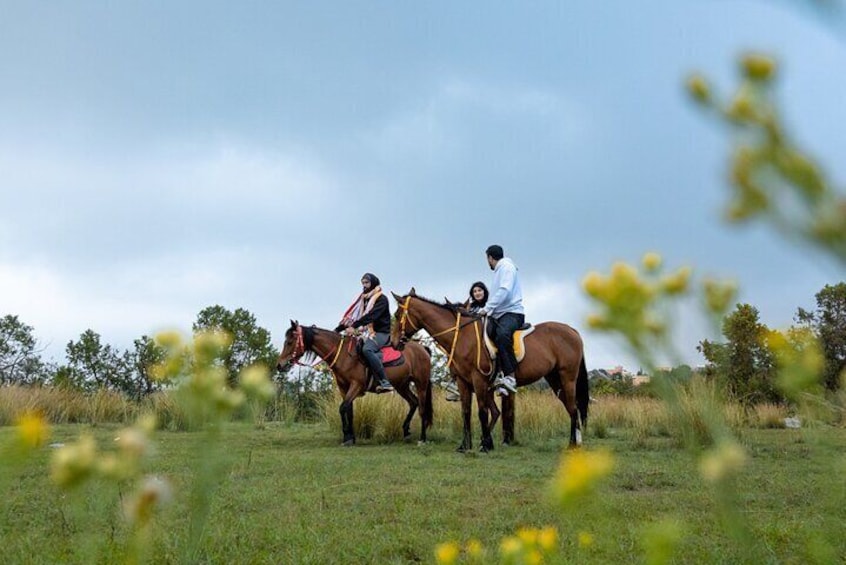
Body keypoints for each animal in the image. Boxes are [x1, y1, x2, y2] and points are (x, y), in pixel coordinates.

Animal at [278, 322, 434, 446]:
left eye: (290, 342)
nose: (280, 365)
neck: (343, 355)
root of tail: (422, 349)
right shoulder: (344, 388)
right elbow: (349, 411)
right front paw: (351, 438)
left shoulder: (356, 386)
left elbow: (342, 408)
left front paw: (347, 436)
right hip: (402, 385)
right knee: (413, 403)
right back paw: (406, 431)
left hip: (421, 384)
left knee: (421, 408)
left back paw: (422, 438)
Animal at [392, 288, 588, 452]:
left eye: (397, 314)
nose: (394, 343)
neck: (462, 336)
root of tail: (572, 331)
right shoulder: (464, 381)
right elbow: (466, 412)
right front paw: (466, 446)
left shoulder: (479, 380)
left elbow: (482, 411)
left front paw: (485, 445)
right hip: (554, 379)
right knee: (571, 408)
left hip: (568, 378)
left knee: (573, 408)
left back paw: (572, 444)